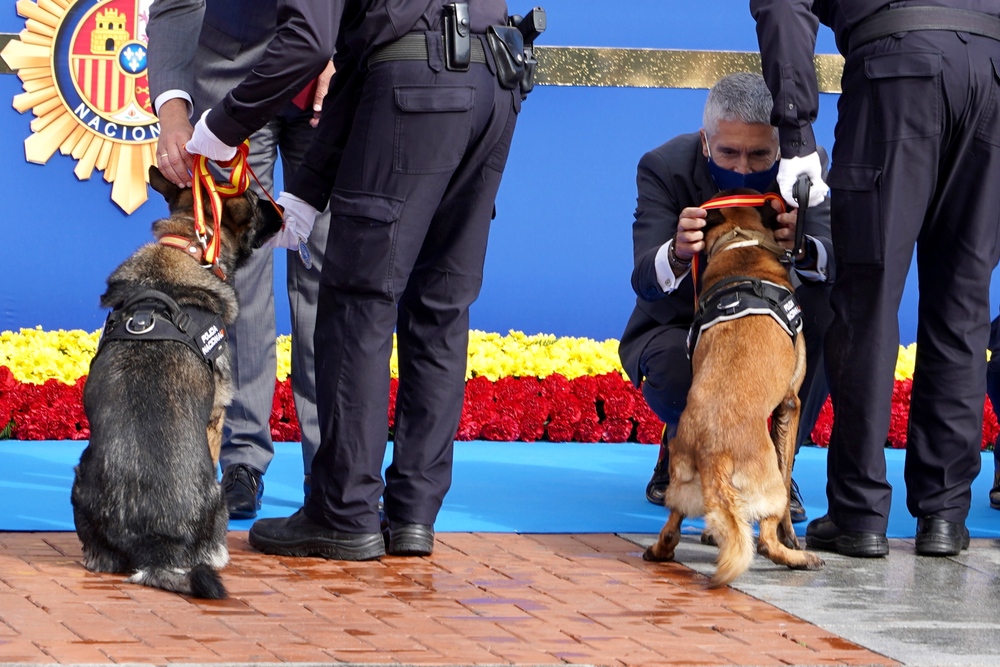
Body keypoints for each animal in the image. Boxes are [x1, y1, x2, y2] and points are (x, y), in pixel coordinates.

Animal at [71, 166, 282, 600]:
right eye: (257, 200)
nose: (282, 207)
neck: (186, 246)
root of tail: (156, 546)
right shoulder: (216, 415)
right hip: (213, 498)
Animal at [644, 189, 824, 588]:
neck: (742, 244)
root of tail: (714, 453)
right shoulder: (790, 403)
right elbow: (787, 471)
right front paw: (793, 536)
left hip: (682, 489)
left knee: (672, 530)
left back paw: (660, 550)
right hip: (768, 488)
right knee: (767, 540)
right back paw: (799, 558)